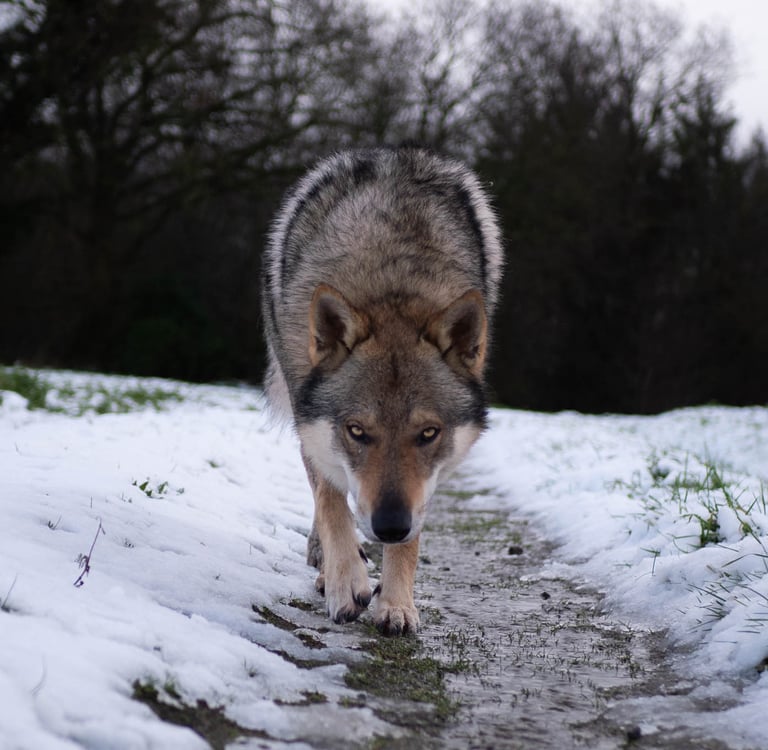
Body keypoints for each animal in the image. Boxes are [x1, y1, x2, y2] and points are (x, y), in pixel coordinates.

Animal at [262, 147, 503, 635]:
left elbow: (412, 537)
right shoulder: (312, 421)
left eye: (428, 433)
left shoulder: (422, 487)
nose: (390, 526)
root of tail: (396, 151)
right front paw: (345, 583)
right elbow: (331, 503)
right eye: (357, 431)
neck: (394, 286)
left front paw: (396, 604)